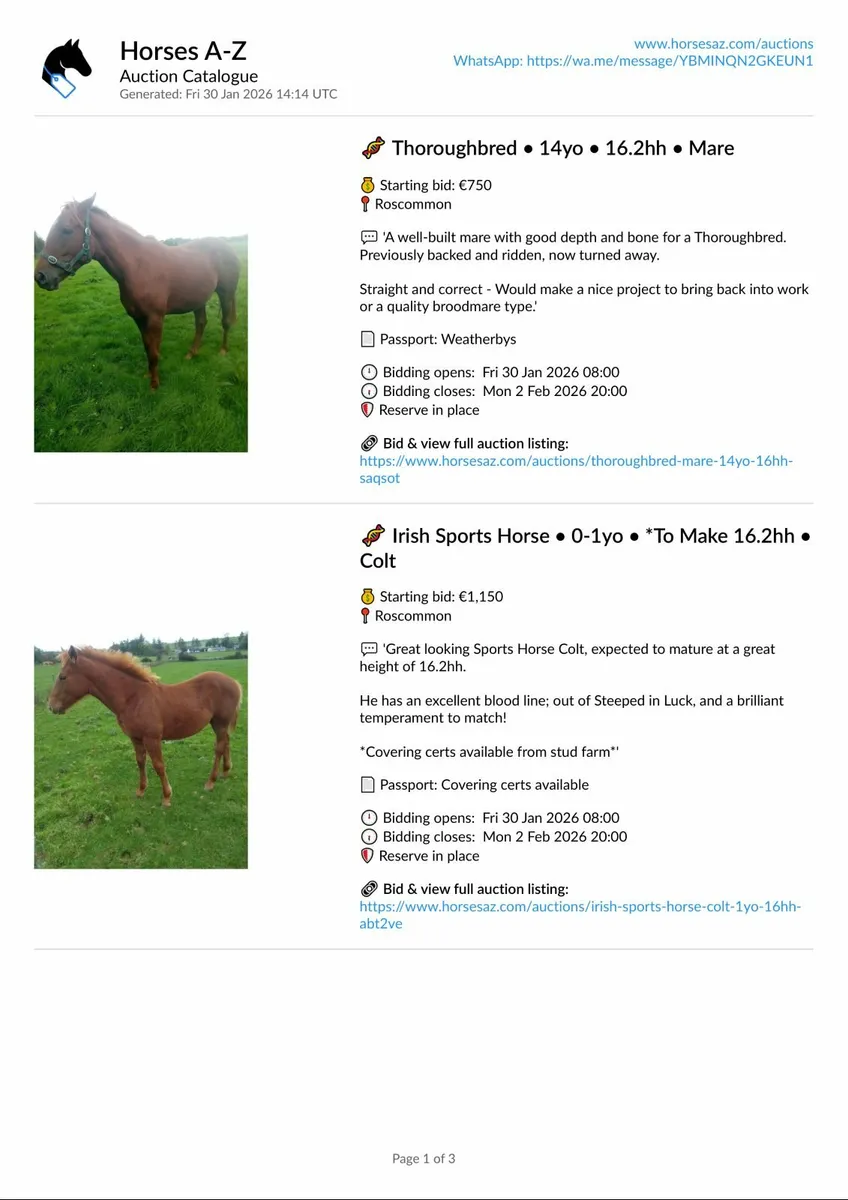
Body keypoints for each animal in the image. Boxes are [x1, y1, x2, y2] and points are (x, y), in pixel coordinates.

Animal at [35, 197, 240, 389]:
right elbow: (148, 348)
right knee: (201, 323)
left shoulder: (155, 318)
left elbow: (154, 352)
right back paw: (191, 353)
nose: (40, 277)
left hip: (226, 293)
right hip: (199, 299)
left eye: (66, 229)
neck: (138, 266)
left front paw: (154, 385)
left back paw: (223, 351)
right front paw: (148, 376)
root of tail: (228, 247)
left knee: (226, 322)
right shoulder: (138, 318)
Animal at [47, 646, 243, 807]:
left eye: (63, 677)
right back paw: (226, 771)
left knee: (219, 747)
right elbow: (140, 761)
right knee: (226, 742)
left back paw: (210, 782)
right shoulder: (136, 738)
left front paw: (166, 797)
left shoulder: (152, 738)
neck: (133, 697)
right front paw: (141, 790)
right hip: (218, 724)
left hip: (220, 722)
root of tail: (234, 682)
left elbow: (158, 765)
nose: (51, 706)